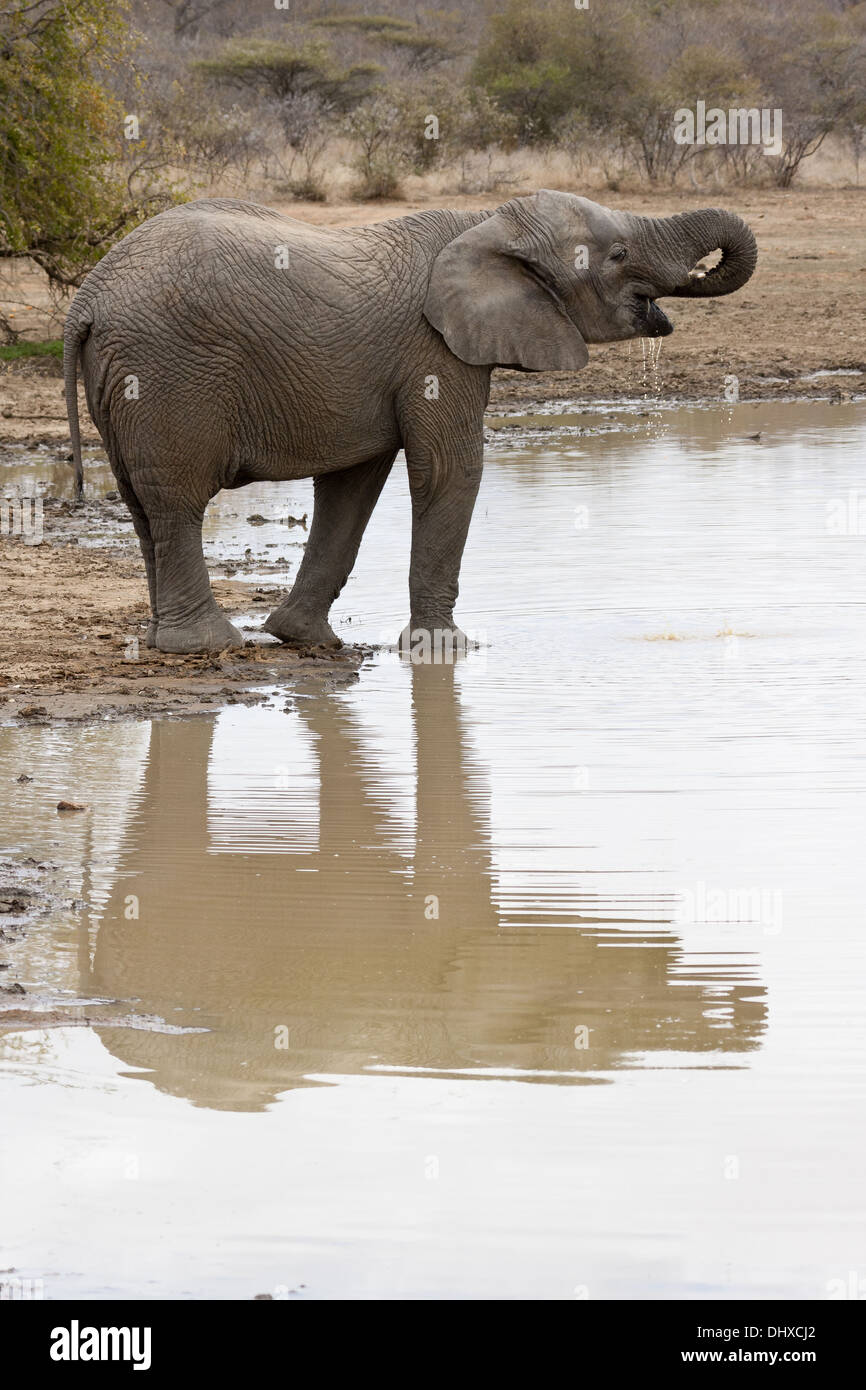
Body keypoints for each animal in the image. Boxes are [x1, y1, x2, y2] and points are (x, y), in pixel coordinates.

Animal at [62, 189, 756, 656]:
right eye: (617, 254)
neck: (487, 223)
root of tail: (86, 300)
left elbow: (352, 485)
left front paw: (303, 638)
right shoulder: (436, 352)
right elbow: (449, 471)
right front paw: (447, 651)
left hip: (125, 381)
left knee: (142, 504)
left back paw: (163, 639)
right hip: (165, 373)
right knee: (177, 499)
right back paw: (207, 645)